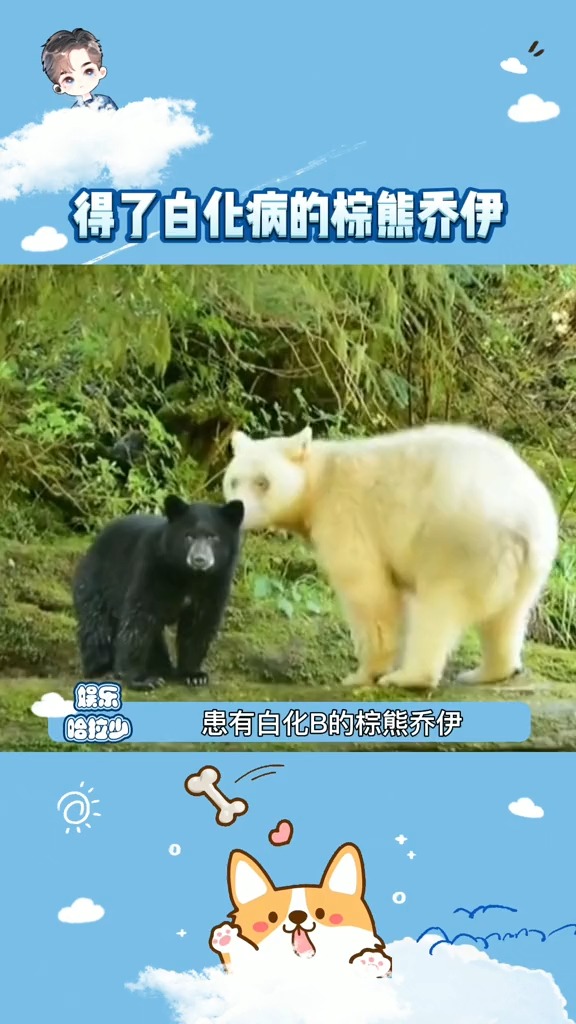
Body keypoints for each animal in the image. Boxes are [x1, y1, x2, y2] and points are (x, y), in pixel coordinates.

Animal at [72, 495, 244, 690]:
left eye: (213, 537)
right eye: (189, 536)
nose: (199, 560)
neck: (190, 575)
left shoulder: (216, 582)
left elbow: (200, 623)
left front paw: (194, 675)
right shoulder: (152, 569)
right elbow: (138, 619)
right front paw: (140, 679)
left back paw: (164, 669)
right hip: (95, 584)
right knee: (97, 627)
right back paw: (102, 670)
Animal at [222, 423, 558, 690]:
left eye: (263, 482)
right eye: (233, 480)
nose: (237, 512)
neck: (319, 480)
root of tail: (524, 524)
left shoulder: (345, 515)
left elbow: (369, 592)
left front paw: (361, 674)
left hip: (458, 542)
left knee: (437, 608)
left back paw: (408, 677)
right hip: (529, 564)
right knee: (507, 618)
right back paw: (486, 672)